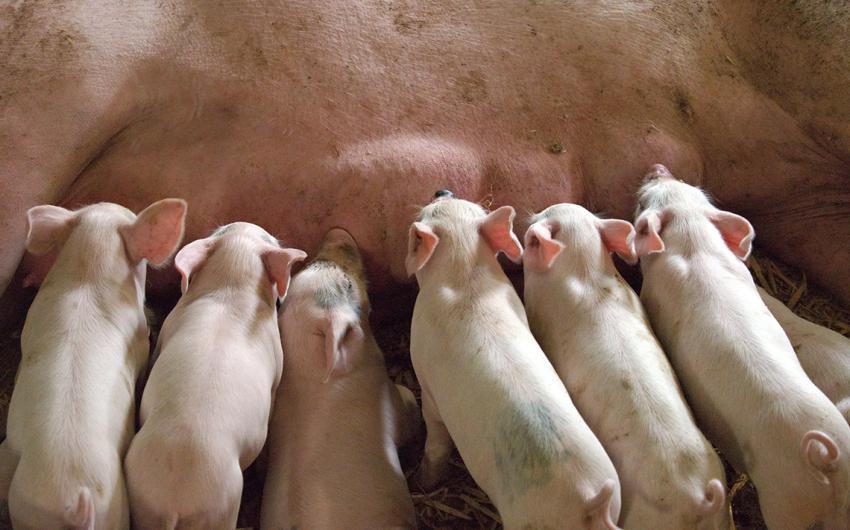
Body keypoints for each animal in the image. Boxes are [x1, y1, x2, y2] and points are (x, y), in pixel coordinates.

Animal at [123, 222, 306, 529]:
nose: (247, 222)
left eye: (220, 230)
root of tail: (174, 503)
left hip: (142, 500)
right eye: (268, 237)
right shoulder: (277, 368)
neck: (232, 287)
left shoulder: (167, 330)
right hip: (222, 508)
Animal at [407, 194, 622, 530]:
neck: (463, 275)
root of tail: (590, 502)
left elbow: (436, 436)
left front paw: (422, 480)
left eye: (423, 221)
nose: (442, 190)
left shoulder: (426, 381)